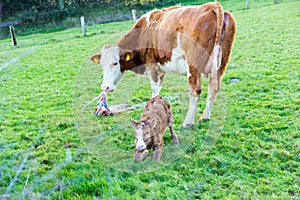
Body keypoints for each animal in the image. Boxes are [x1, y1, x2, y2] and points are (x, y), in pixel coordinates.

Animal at [90, 2, 236, 127]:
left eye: (115, 63)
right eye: (102, 64)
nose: (105, 87)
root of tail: (213, 6)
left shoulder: (151, 64)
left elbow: (154, 89)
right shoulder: (160, 68)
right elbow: (159, 89)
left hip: (192, 65)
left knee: (196, 90)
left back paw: (188, 122)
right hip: (221, 64)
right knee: (214, 88)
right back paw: (205, 117)